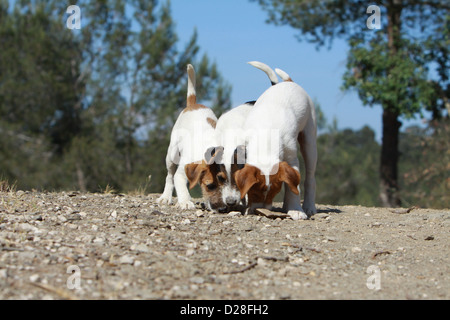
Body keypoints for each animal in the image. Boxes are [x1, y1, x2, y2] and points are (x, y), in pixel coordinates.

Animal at [157, 64, 227, 211]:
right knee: (169, 176)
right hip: (171, 155)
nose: (223, 209)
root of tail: (193, 104)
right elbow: (179, 182)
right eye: (210, 186)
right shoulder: (181, 172)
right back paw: (165, 197)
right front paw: (185, 202)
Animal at [234, 70, 318, 220]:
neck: (266, 138)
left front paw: (296, 210)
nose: (260, 210)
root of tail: (289, 83)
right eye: (254, 192)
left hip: (309, 141)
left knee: (310, 178)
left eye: (274, 193)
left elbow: (293, 189)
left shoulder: (291, 159)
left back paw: (309, 206)